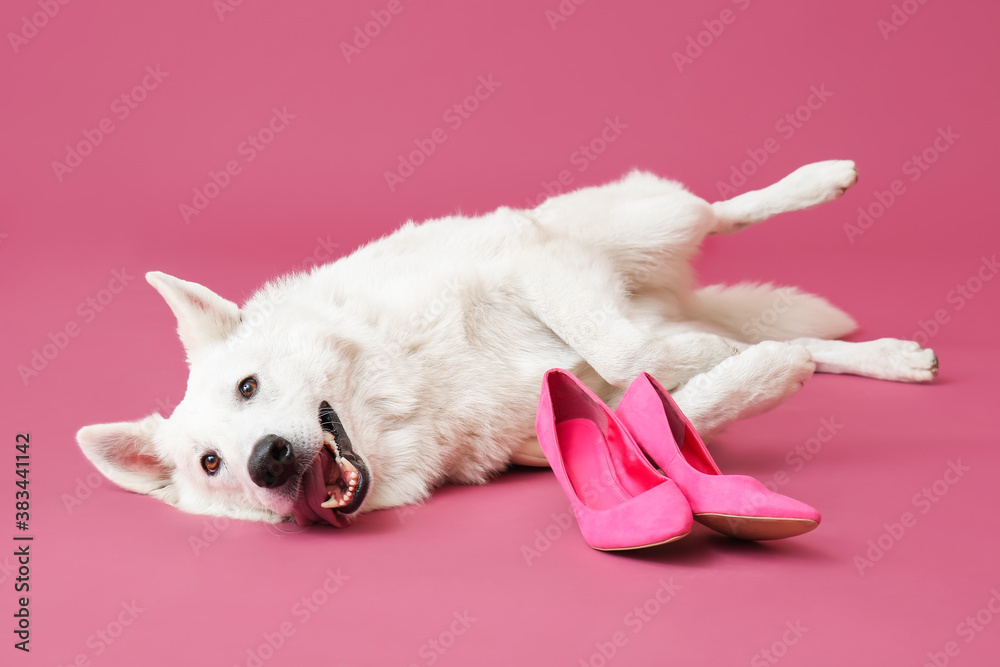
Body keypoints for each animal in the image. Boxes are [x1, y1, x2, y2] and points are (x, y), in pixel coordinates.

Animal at [76, 162, 936, 528]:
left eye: (249, 388)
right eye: (210, 464)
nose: (266, 460)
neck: (411, 393)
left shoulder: (529, 262)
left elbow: (630, 354)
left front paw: (702, 361)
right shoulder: (547, 435)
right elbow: (667, 394)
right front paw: (758, 372)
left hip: (632, 225)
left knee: (719, 212)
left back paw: (820, 181)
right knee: (788, 333)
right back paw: (883, 356)